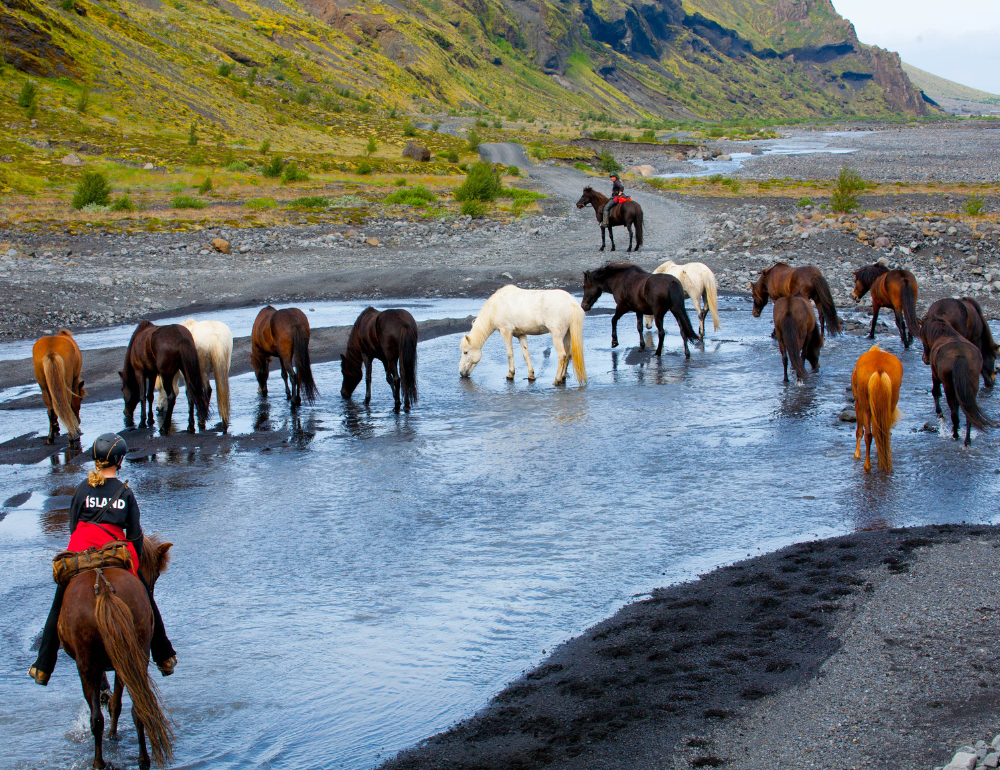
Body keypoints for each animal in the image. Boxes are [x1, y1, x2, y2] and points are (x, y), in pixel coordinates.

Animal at [57, 536, 174, 768]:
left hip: (90, 662)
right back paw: (140, 759)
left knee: (99, 717)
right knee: (137, 709)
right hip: (133, 653)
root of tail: (103, 587)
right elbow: (117, 702)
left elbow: (112, 701)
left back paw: (101, 761)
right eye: (155, 574)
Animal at [852, 344, 908, 472]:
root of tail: (879, 369)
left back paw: (867, 465)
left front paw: (857, 454)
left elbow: (859, 431)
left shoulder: (857, 404)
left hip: (865, 406)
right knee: (883, 432)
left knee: (868, 434)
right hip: (891, 402)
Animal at [916, 316, 996, 444]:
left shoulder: (935, 375)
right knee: (968, 413)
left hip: (948, 386)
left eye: (922, 335)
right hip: (971, 386)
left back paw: (955, 435)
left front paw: (939, 413)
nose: (925, 359)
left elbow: (936, 392)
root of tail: (960, 355)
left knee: (954, 413)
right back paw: (967, 440)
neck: (944, 334)